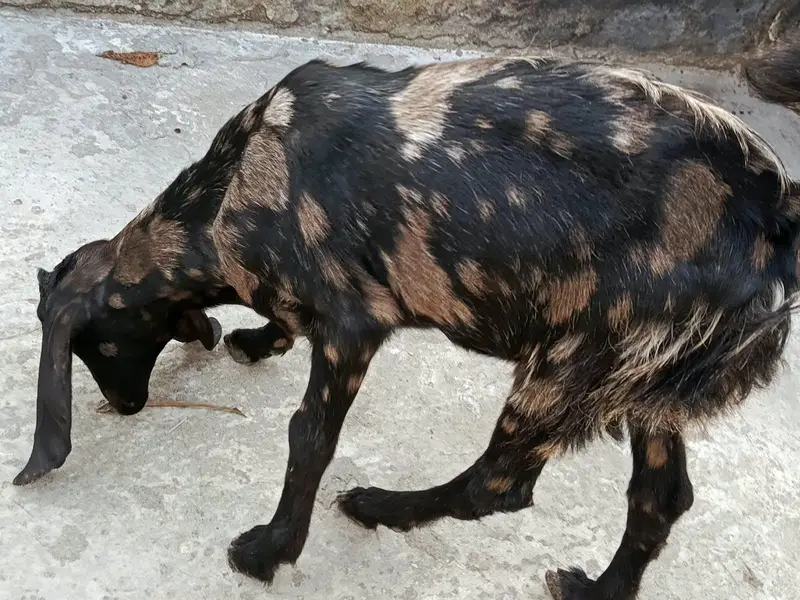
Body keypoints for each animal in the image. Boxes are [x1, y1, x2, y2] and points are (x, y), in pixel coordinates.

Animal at [13, 41, 800, 599]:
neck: (234, 184)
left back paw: (380, 506)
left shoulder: (353, 326)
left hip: (569, 365)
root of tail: (773, 219)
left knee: (499, 487)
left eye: (96, 346)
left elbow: (309, 439)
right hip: (648, 380)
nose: (126, 406)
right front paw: (261, 338)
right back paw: (598, 592)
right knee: (660, 498)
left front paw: (270, 551)